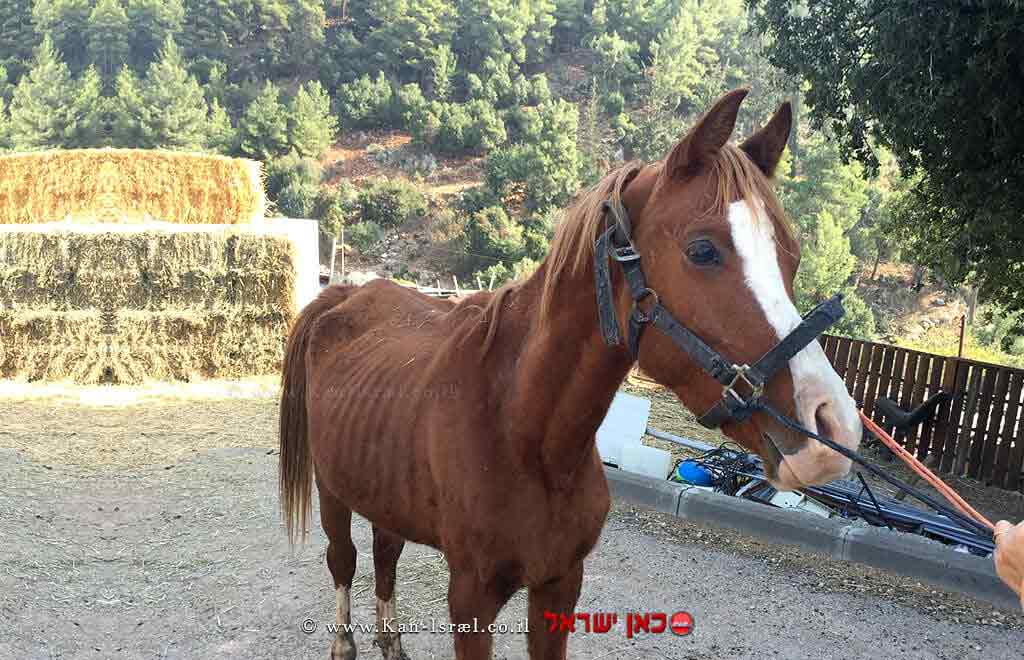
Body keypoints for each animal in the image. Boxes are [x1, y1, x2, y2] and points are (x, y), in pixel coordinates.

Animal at [280, 89, 864, 658]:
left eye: (791, 257)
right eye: (702, 250)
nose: (831, 425)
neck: (523, 435)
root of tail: (343, 294)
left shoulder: (560, 585)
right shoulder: (471, 596)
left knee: (385, 554)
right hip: (332, 491)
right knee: (344, 560)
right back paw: (344, 642)